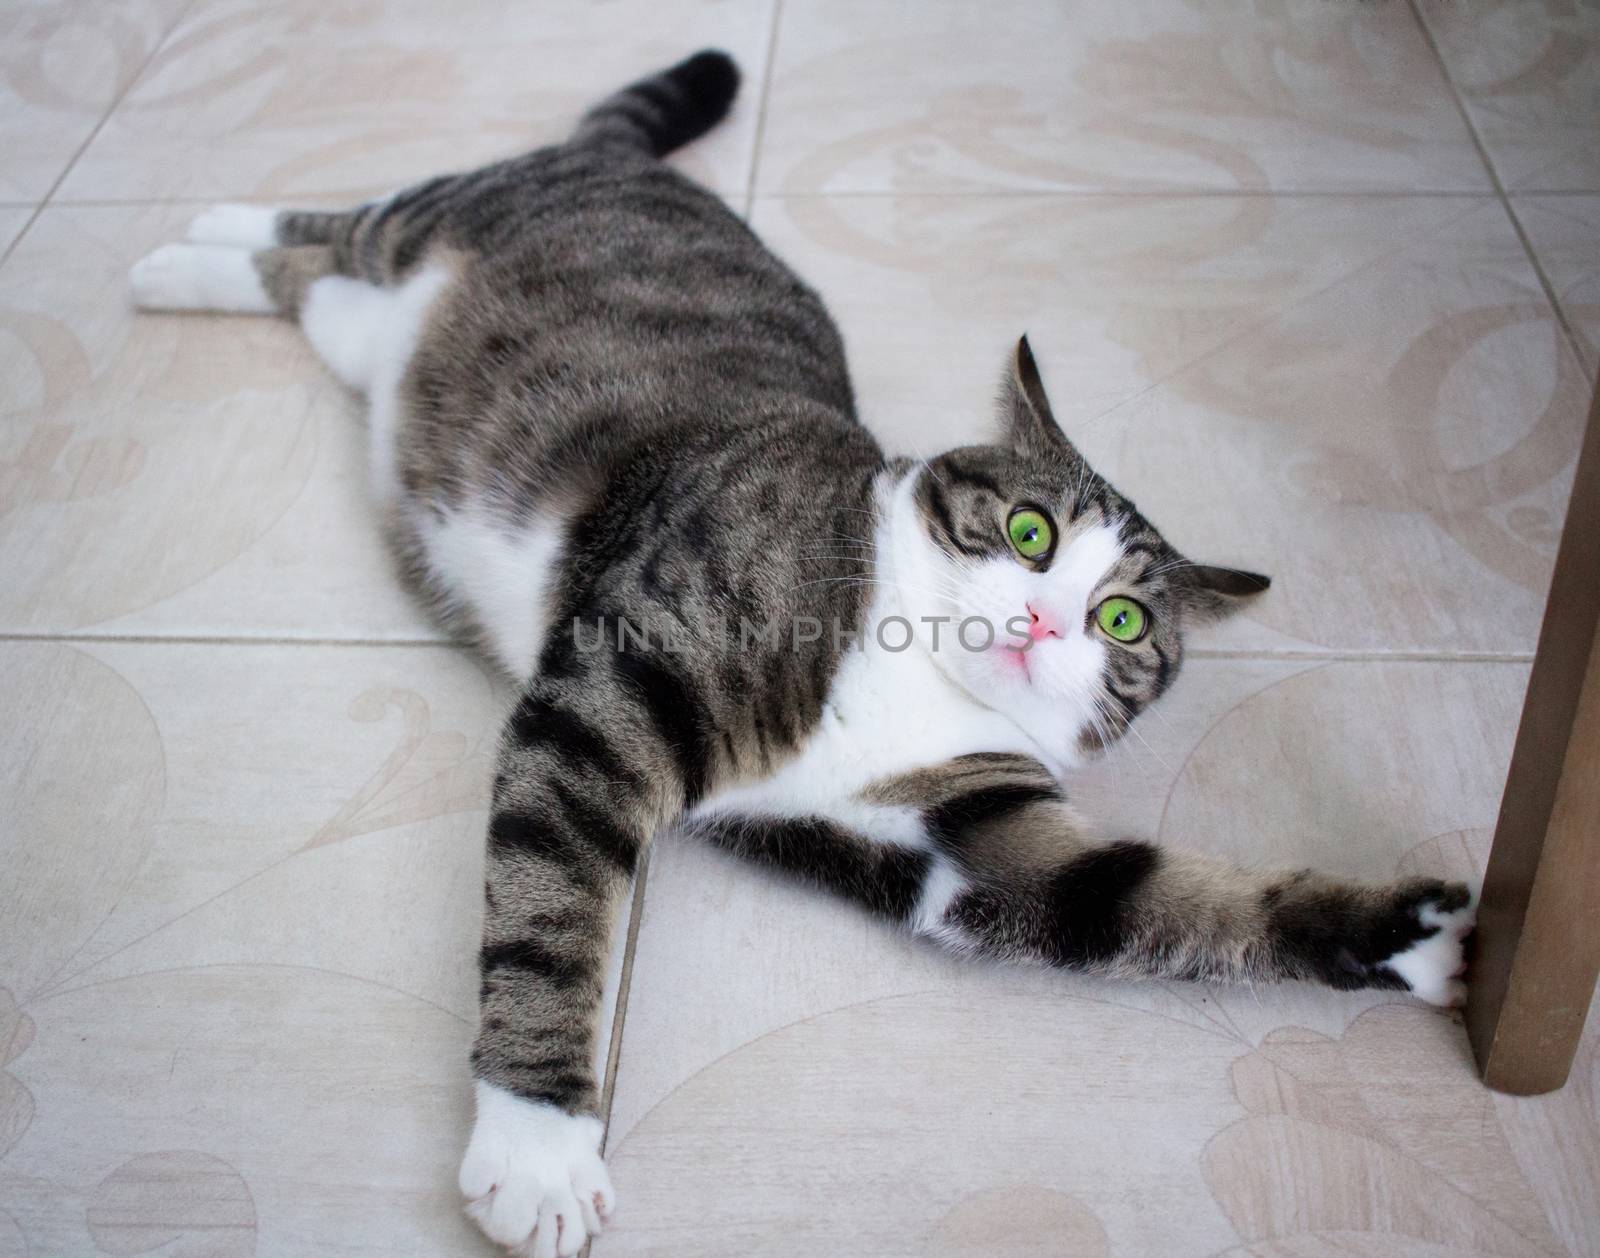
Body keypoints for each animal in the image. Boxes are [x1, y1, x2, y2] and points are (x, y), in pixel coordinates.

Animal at [128, 49, 1472, 1254]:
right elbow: (551, 918)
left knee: (317, 286)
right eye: (1030, 531)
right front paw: (539, 1147)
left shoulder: (963, 838)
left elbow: (1142, 897)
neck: (910, 673)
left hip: (370, 332)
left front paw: (1418, 940)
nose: (1045, 622)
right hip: (439, 221)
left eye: (1124, 621)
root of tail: (621, 163)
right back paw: (182, 247)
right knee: (341, 224)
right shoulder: (610, 695)